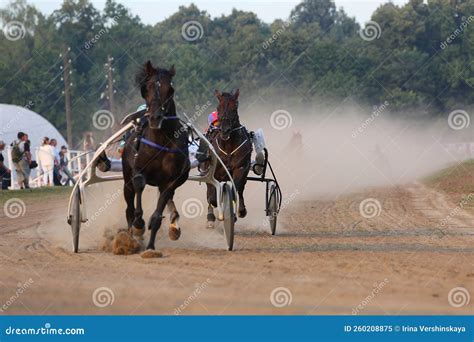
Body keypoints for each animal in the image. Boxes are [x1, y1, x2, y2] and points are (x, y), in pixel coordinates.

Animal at [121, 60, 190, 251]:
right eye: (146, 88)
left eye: (170, 89)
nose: (155, 117)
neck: (161, 140)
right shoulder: (138, 170)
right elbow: (139, 187)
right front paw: (138, 226)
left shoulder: (170, 181)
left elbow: (158, 214)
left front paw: (151, 246)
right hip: (126, 178)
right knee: (129, 206)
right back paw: (131, 236)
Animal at [206, 89, 254, 227]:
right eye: (218, 107)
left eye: (234, 107)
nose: (225, 130)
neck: (228, 146)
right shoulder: (213, 172)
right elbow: (212, 196)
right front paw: (212, 215)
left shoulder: (240, 168)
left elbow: (235, 189)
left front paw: (235, 213)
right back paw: (210, 216)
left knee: (240, 188)